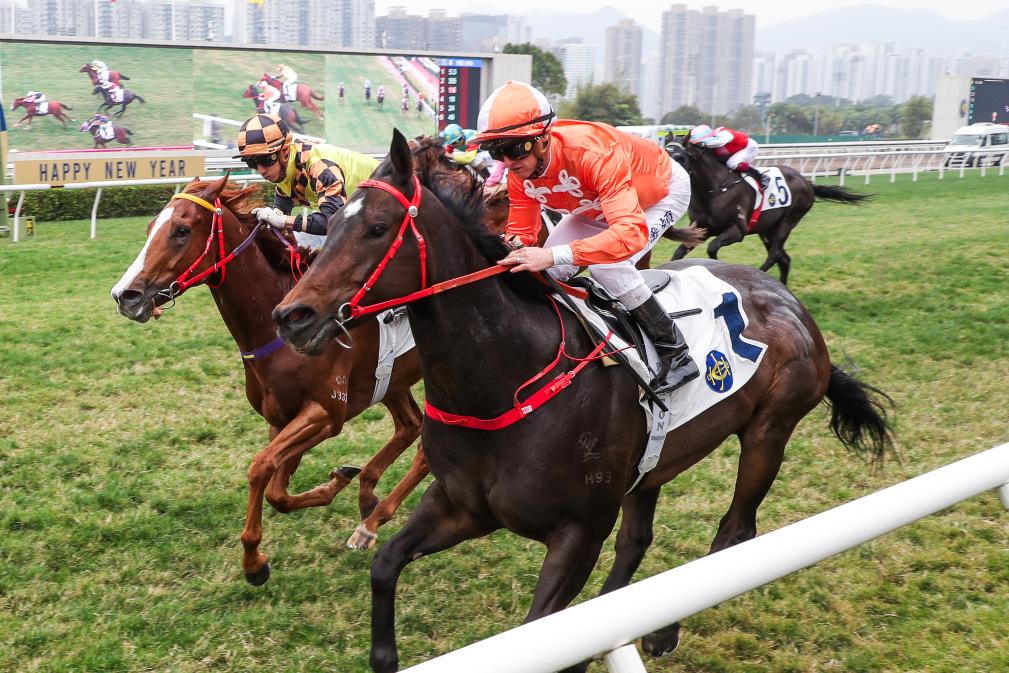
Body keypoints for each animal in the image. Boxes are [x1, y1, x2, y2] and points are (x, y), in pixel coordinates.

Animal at [112, 176, 431, 585]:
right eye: (151, 227)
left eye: (181, 230)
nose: (125, 295)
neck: (273, 330)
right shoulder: (280, 417)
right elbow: (277, 490)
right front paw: (336, 481)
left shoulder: (325, 414)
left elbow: (260, 467)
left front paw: (253, 563)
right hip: (393, 380)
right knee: (410, 425)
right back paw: (367, 498)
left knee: (426, 444)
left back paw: (372, 521)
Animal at [665, 143, 871, 286]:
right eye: (665, 154)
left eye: (680, 158)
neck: (714, 189)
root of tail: (808, 183)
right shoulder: (702, 228)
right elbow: (679, 253)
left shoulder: (737, 231)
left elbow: (712, 248)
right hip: (766, 230)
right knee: (784, 259)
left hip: (787, 222)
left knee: (774, 255)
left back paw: (760, 275)